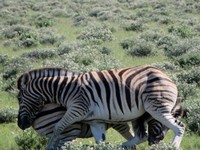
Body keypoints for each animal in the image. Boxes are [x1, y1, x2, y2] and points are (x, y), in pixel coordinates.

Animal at [16, 65, 184, 149]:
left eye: (19, 99)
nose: (20, 124)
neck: (64, 89)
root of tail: (167, 76)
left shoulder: (77, 109)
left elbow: (58, 128)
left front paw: (49, 147)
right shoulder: (95, 120)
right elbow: (100, 143)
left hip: (155, 108)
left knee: (178, 127)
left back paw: (172, 146)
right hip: (142, 114)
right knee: (141, 136)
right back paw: (124, 145)